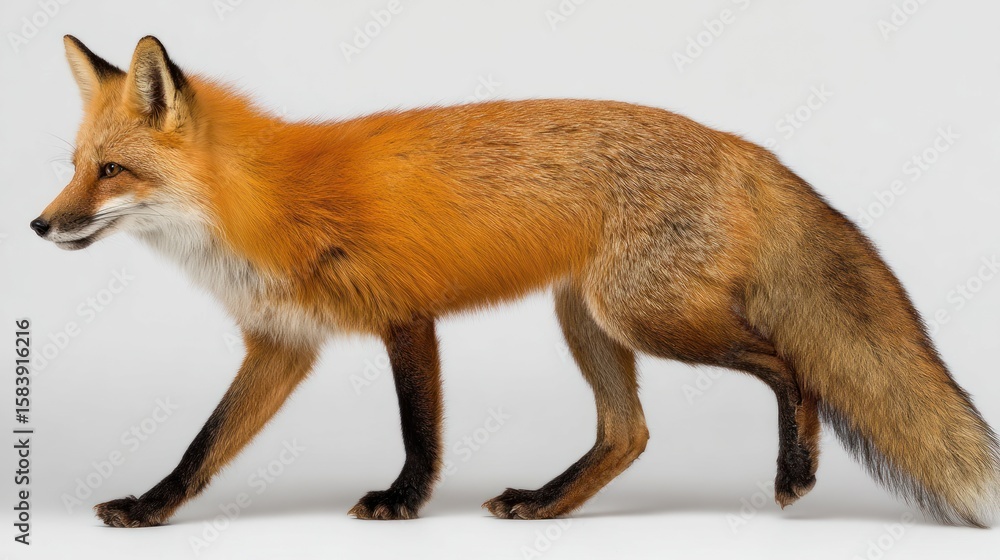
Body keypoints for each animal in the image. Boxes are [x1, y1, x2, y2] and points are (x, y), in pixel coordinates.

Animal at [31, 35, 999, 529]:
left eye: (112, 172)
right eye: (73, 167)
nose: (38, 226)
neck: (257, 203)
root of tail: (736, 143)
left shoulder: (404, 314)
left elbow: (419, 429)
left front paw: (403, 501)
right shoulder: (284, 344)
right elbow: (203, 446)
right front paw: (153, 507)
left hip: (644, 316)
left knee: (792, 370)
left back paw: (796, 471)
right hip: (588, 320)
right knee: (629, 434)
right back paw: (547, 501)